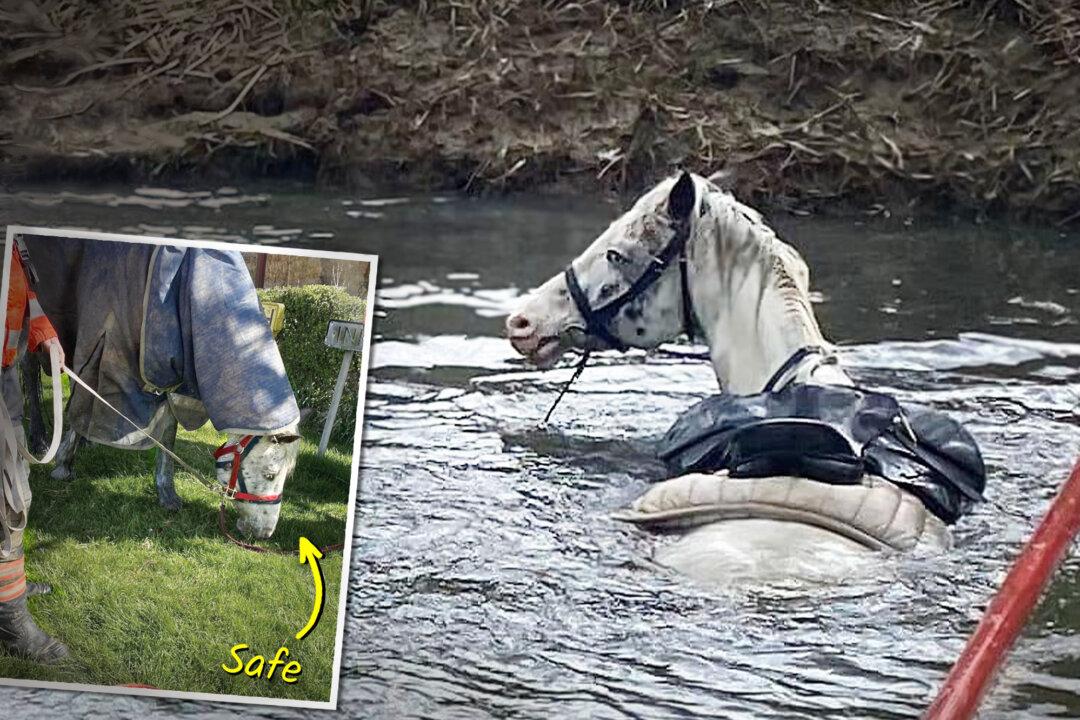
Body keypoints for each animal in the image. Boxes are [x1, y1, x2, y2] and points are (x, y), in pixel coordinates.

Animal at [19, 233, 301, 540]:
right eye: (270, 474)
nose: (264, 534)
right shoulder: (104, 349)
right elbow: (85, 397)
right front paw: (62, 464)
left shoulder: (173, 379)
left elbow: (167, 436)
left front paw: (167, 494)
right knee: (31, 372)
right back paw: (40, 438)